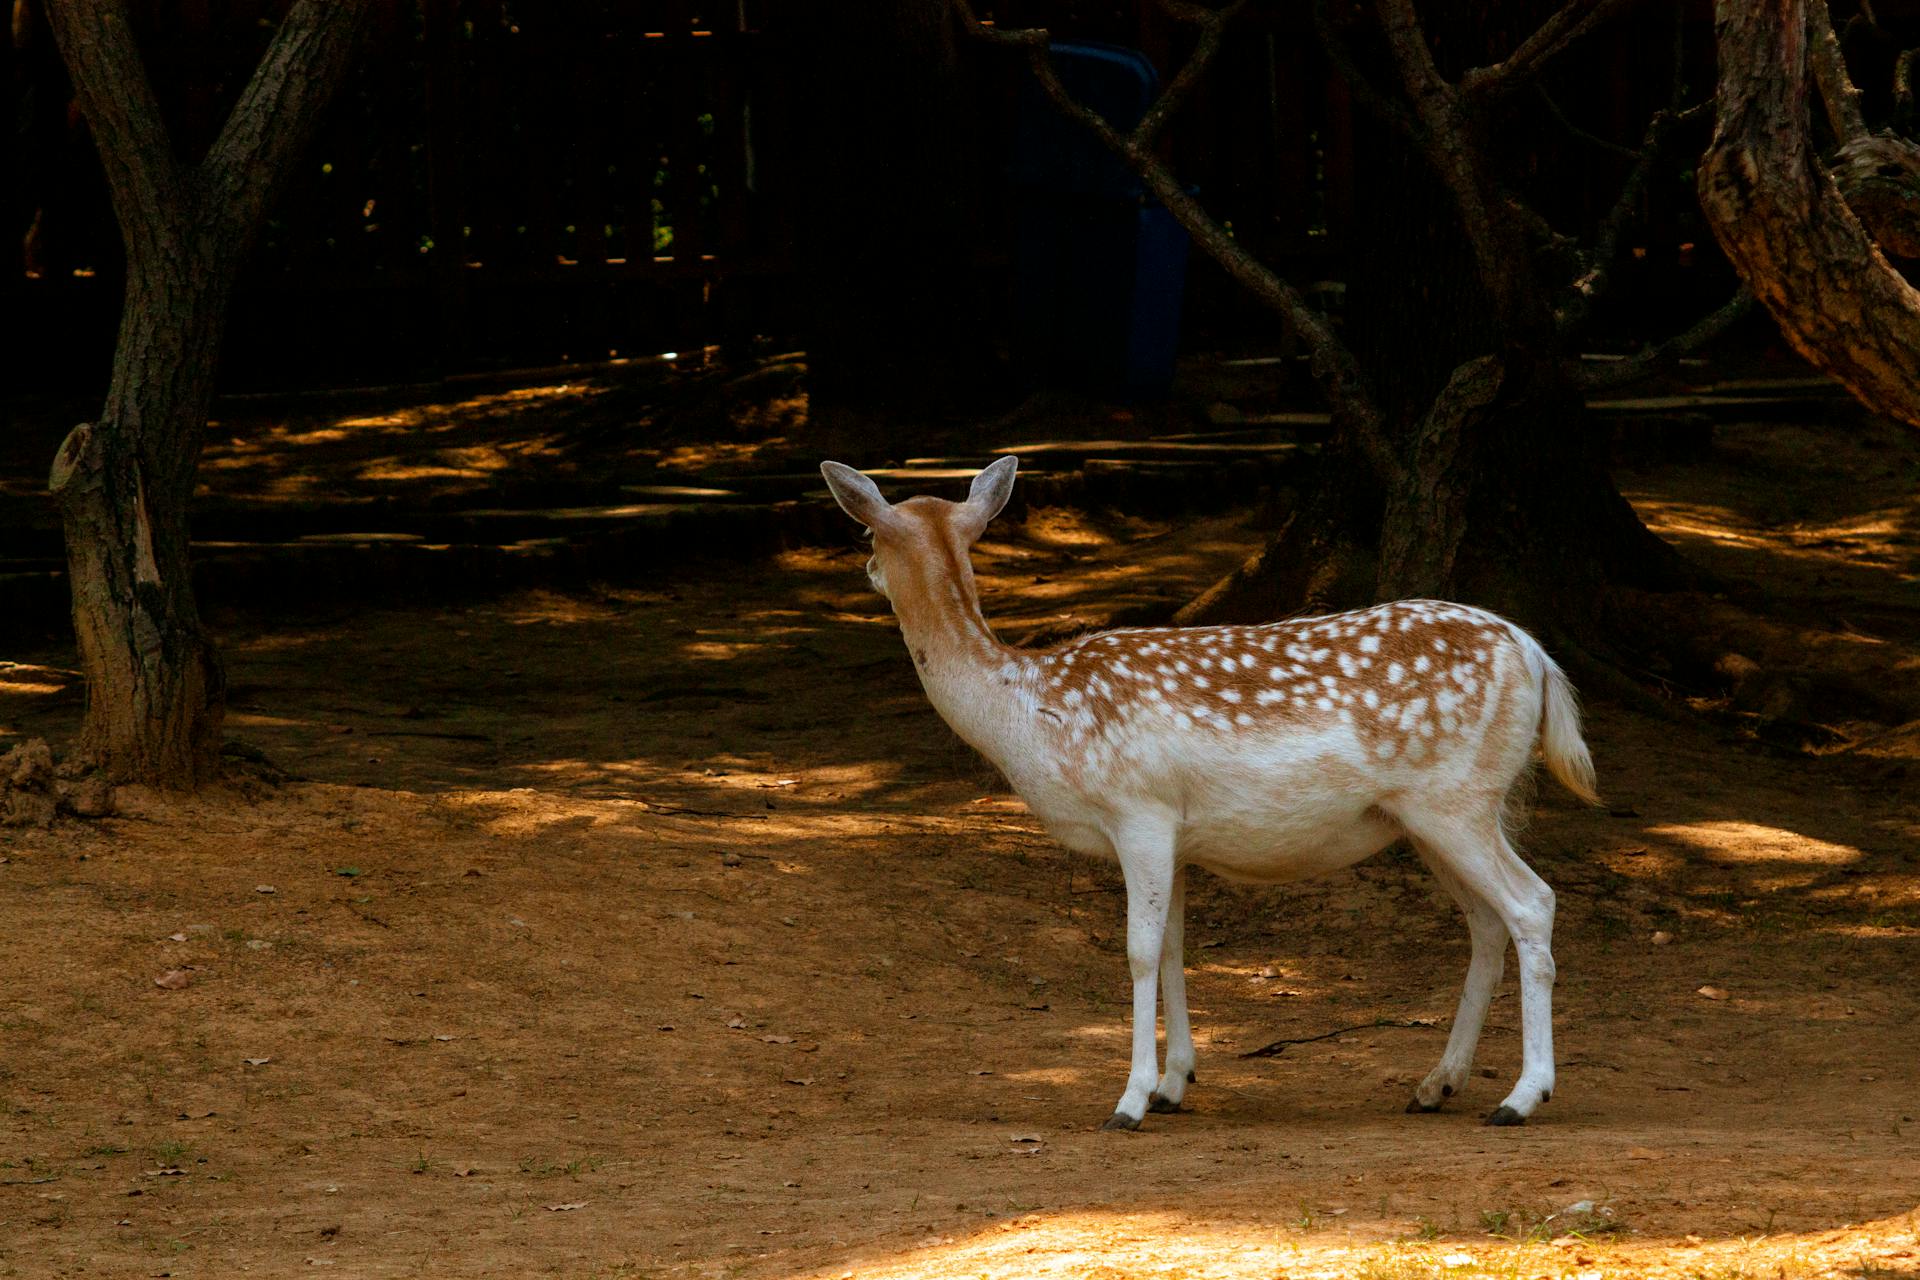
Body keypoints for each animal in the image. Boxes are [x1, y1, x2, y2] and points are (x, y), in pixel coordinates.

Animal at [817, 458, 1597, 1128]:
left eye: (868, 530)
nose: (865, 568)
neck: (1031, 714)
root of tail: (1536, 655)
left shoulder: (1140, 810)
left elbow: (1137, 951)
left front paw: (1129, 1100)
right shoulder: (1178, 839)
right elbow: (1172, 948)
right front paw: (1174, 1085)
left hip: (1457, 799)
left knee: (1533, 903)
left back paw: (1522, 1097)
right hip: (1436, 815)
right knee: (1487, 921)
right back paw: (1437, 1084)